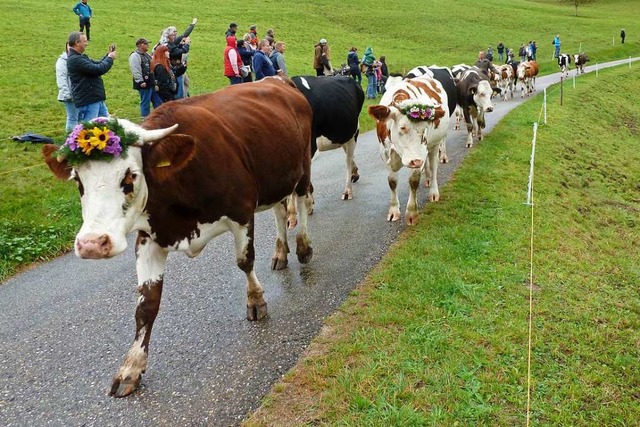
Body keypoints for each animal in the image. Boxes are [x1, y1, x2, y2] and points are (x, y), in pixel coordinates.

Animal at [41, 78, 314, 400]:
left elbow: (244, 261)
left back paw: (303, 247)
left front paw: (256, 300)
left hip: (301, 168)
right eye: (78, 181)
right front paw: (131, 367)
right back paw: (281, 253)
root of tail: (276, 79)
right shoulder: (149, 237)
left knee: (303, 201)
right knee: (280, 211)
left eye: (130, 176)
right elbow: (146, 305)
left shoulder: (241, 213)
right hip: (276, 181)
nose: (92, 244)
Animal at [364, 77, 450, 226]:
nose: (416, 161)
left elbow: (414, 181)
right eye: (402, 127)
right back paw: (427, 178)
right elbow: (392, 181)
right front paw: (393, 211)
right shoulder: (385, 153)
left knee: (433, 167)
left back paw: (433, 191)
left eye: (425, 128)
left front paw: (411, 214)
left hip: (434, 145)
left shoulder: (419, 155)